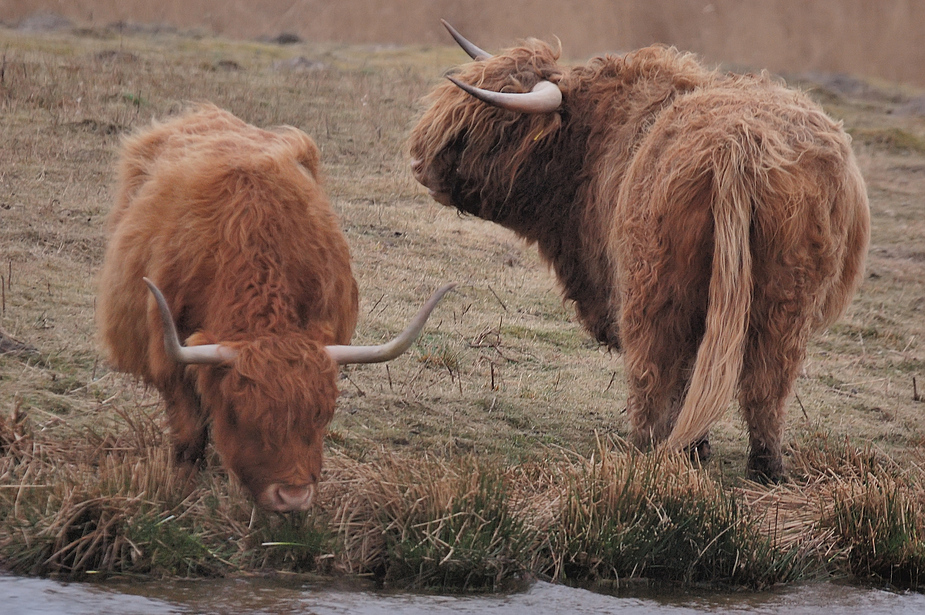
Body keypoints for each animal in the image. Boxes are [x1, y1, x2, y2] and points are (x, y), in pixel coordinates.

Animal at [97, 104, 452, 510]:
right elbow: (189, 434)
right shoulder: (167, 355)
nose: (293, 496)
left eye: (322, 415)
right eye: (240, 414)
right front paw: (182, 488)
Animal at [408, 22, 868, 482]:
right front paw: (697, 445)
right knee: (767, 379)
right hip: (786, 298)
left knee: (655, 364)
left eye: (492, 128)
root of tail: (741, 145)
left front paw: (689, 445)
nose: (419, 163)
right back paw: (765, 466)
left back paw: (645, 445)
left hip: (655, 284)